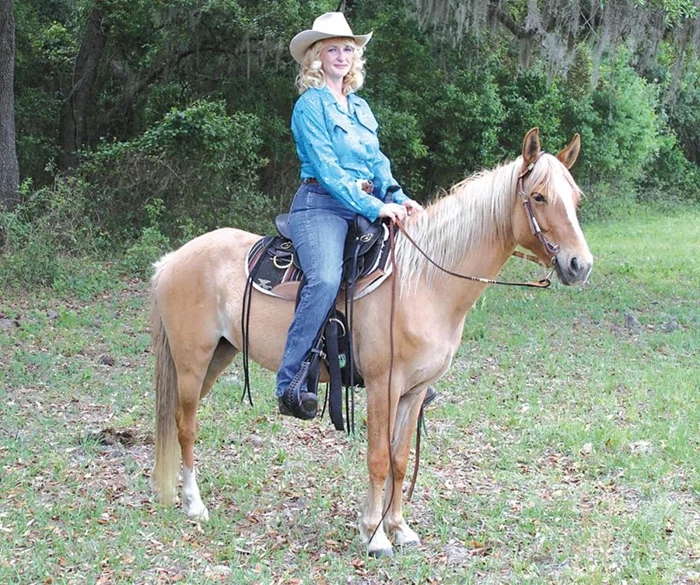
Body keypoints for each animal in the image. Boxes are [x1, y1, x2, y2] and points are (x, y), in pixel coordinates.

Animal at [149, 128, 593, 557]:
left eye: (575, 199)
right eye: (539, 196)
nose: (580, 265)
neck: (424, 282)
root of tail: (171, 260)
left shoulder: (414, 391)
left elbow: (399, 459)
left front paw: (397, 528)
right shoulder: (384, 385)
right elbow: (378, 457)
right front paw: (375, 536)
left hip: (217, 357)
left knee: (179, 420)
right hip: (192, 361)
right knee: (186, 426)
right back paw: (194, 505)